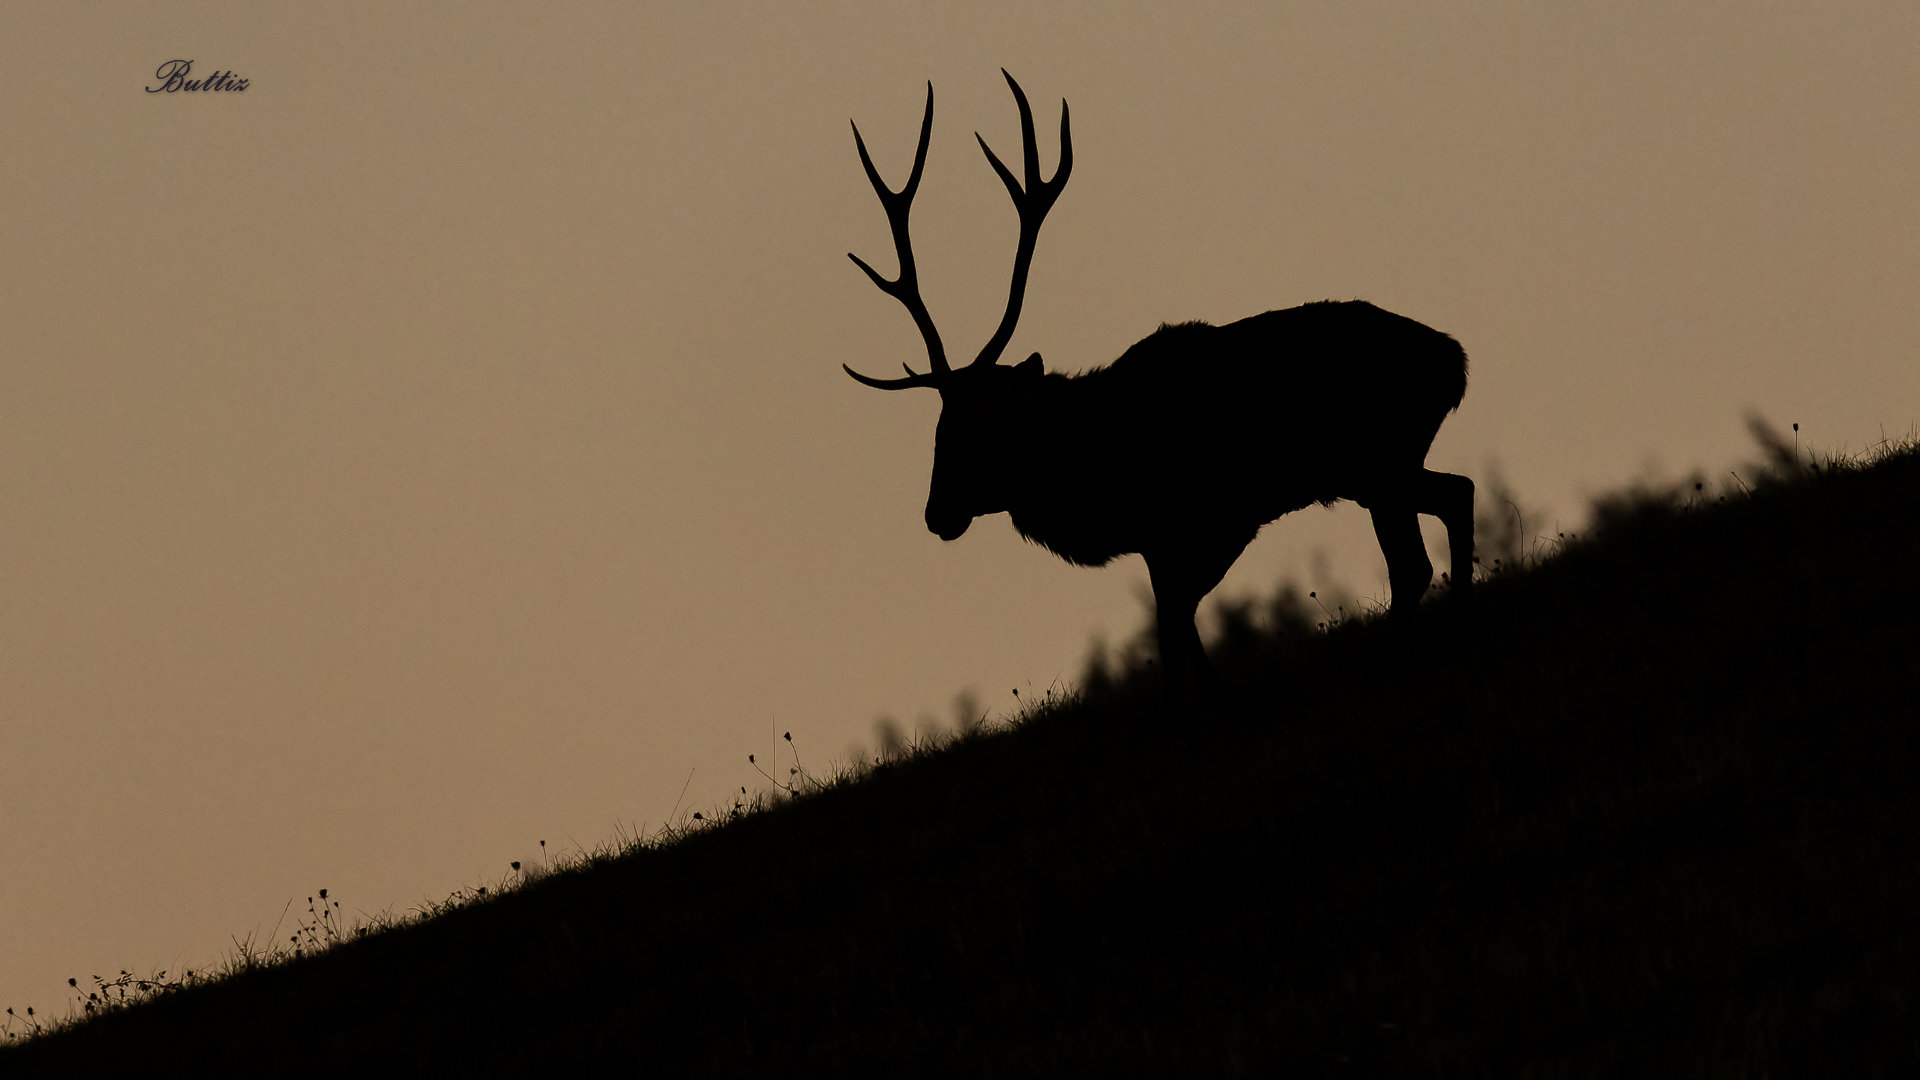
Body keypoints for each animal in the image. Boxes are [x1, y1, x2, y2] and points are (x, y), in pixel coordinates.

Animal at [843, 72, 1476, 714]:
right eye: (937, 431)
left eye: (983, 427)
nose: (937, 514)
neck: (1098, 475)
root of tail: (1454, 362)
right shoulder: (1159, 537)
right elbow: (1176, 618)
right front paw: (1212, 695)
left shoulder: (1212, 515)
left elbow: (1174, 620)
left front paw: (1195, 703)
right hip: (1380, 468)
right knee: (1455, 495)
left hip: (1375, 462)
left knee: (1417, 555)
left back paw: (1393, 664)